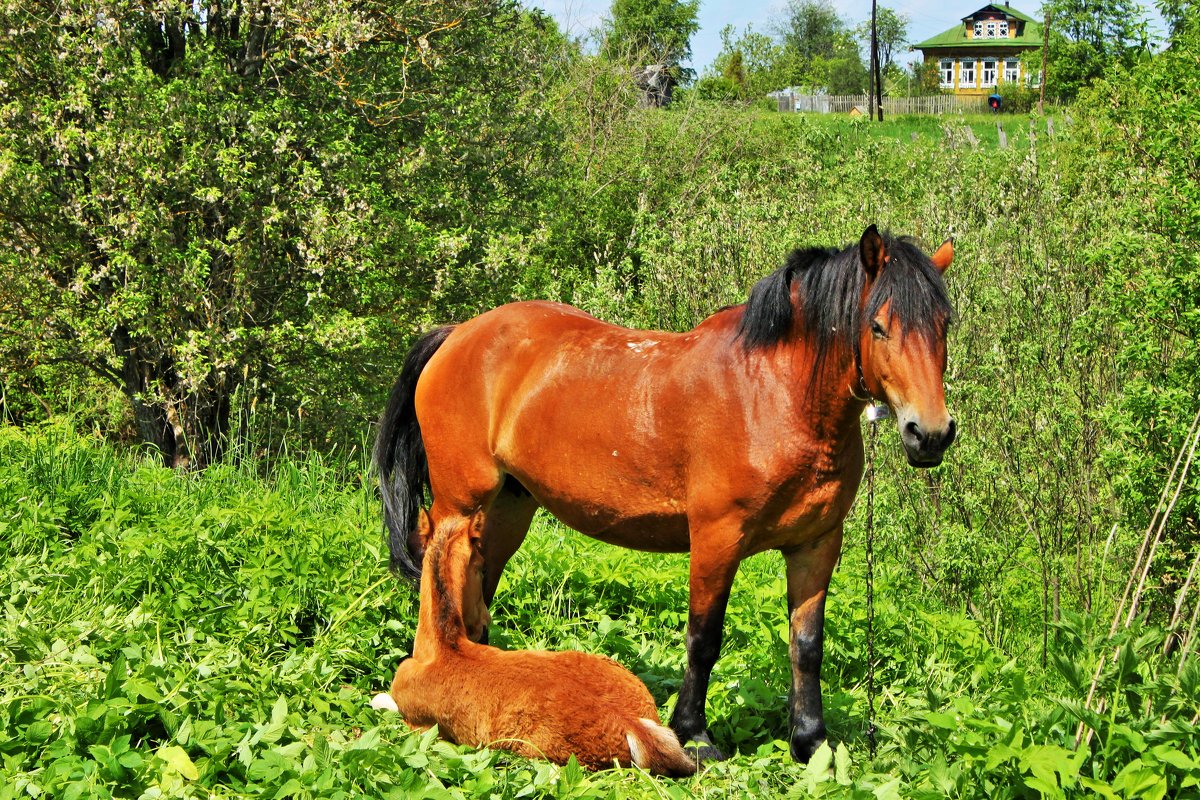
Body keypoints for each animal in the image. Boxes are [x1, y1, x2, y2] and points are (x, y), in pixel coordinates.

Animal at [369, 510, 700, 777]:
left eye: (482, 566)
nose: (484, 621)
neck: (443, 647)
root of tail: (633, 725)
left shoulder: (417, 720)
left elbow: (381, 701)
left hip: (540, 752)